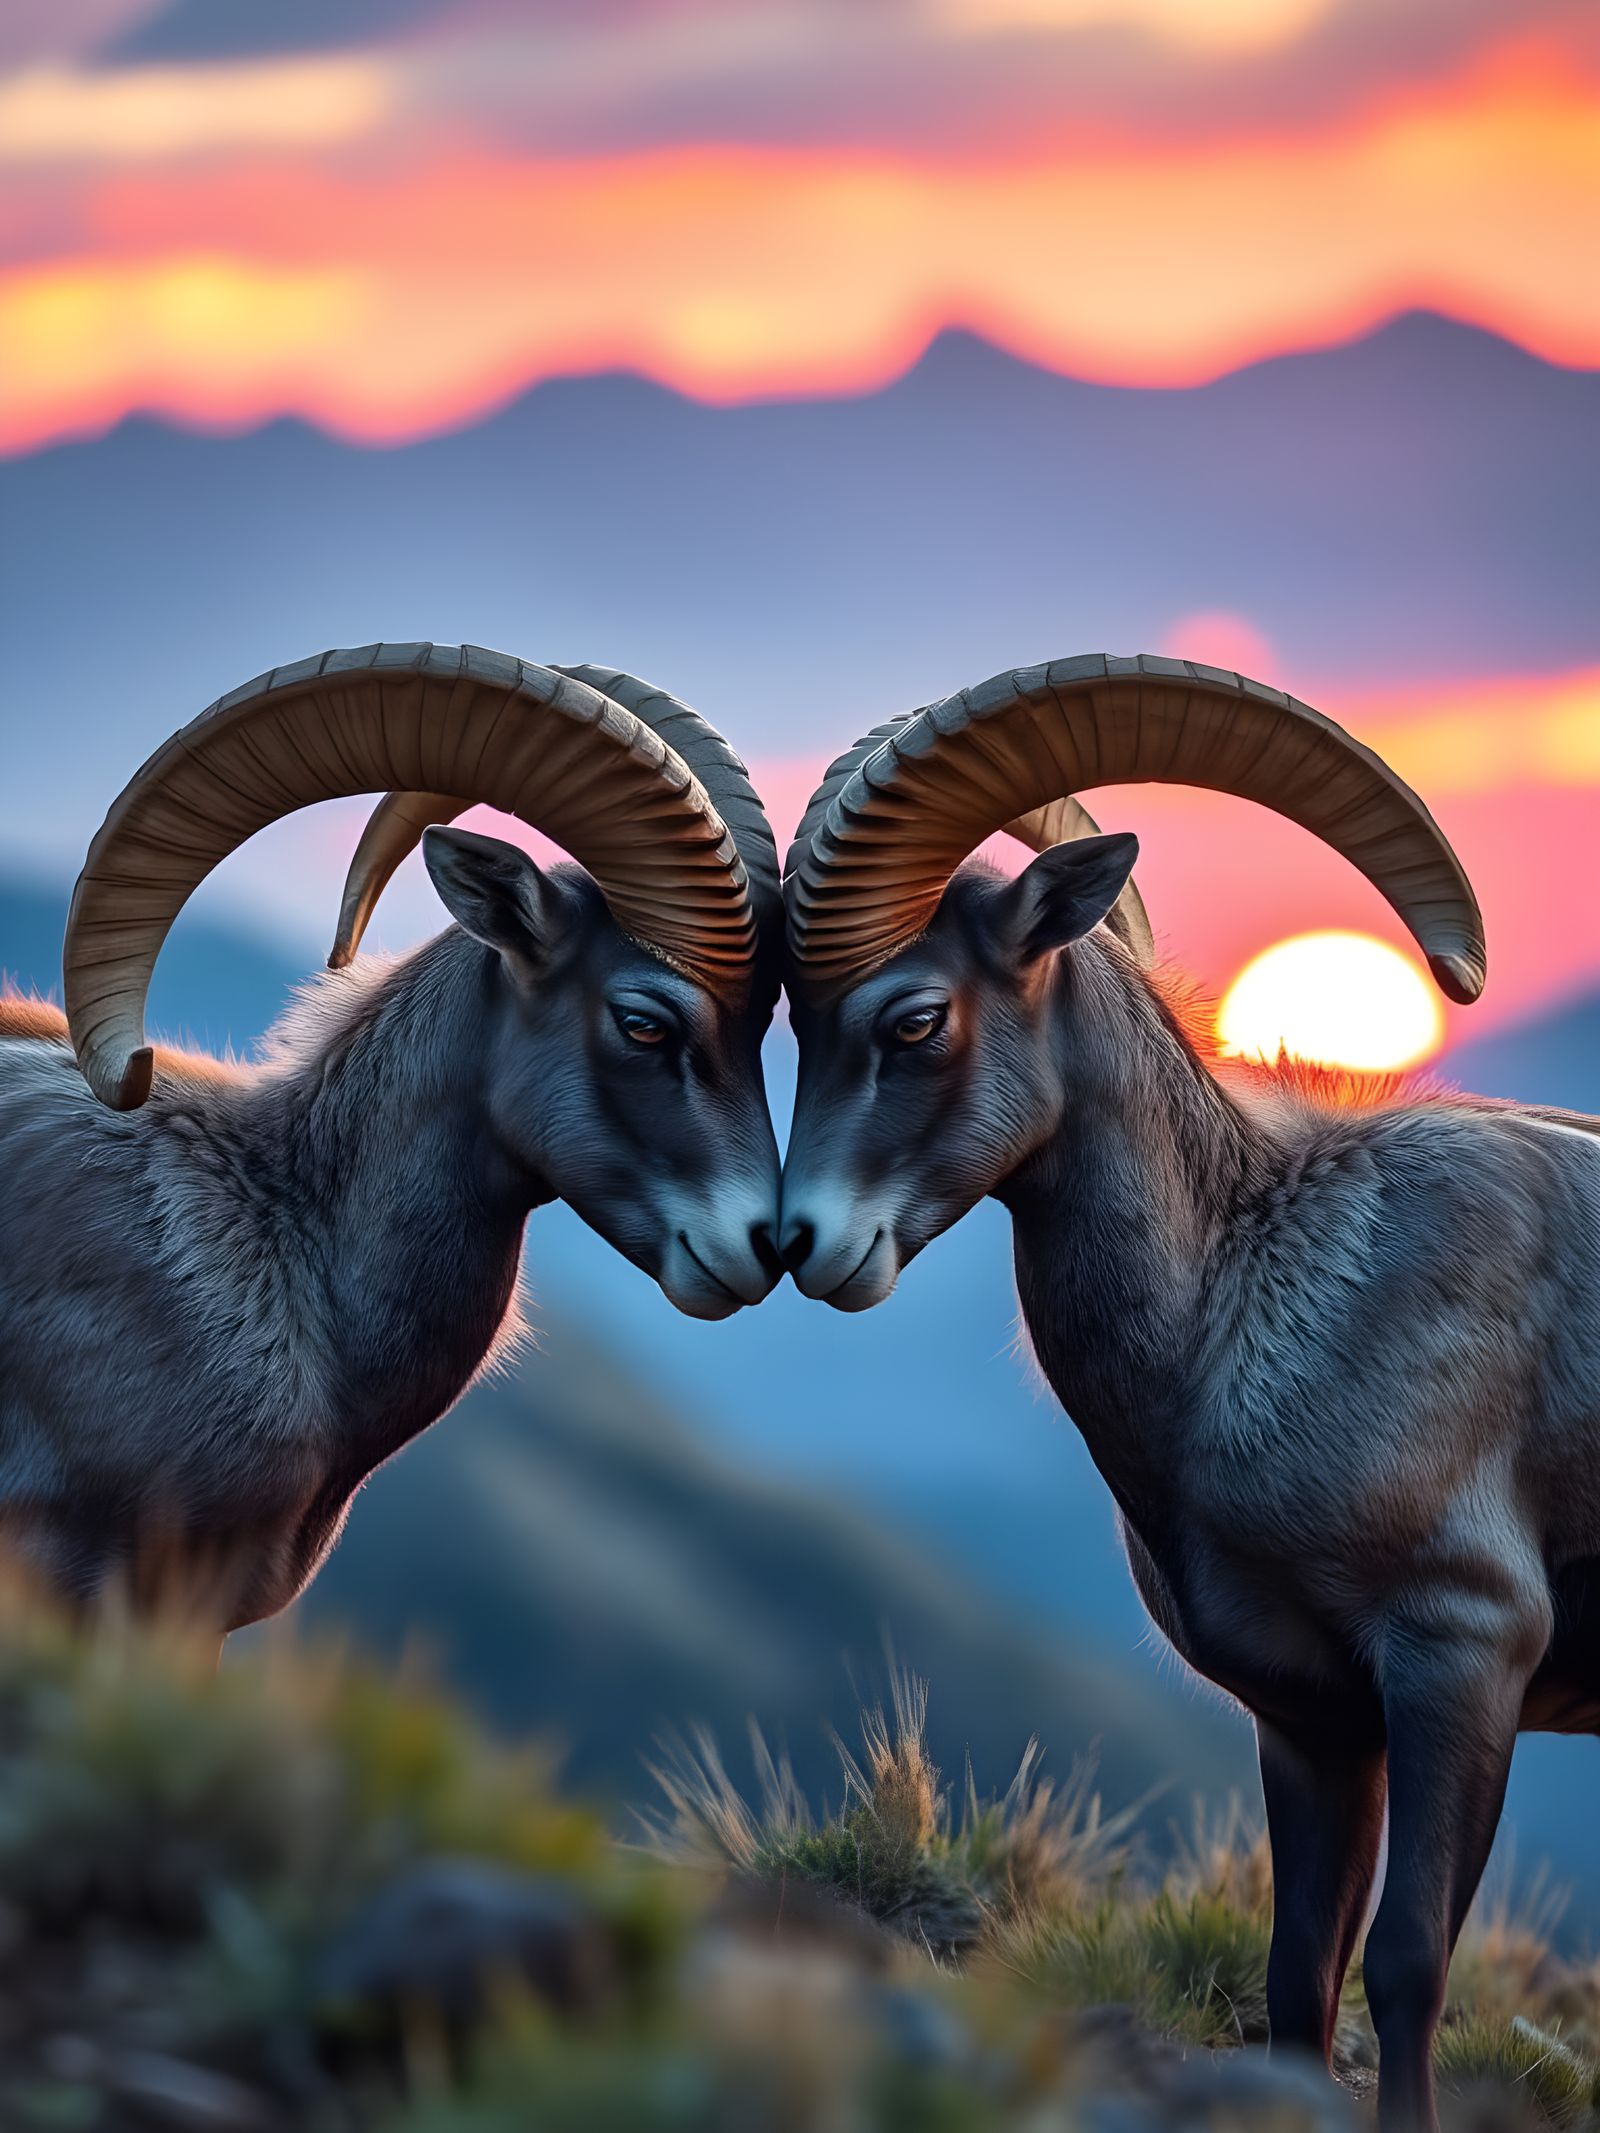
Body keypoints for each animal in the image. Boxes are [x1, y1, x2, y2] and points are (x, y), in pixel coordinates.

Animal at [774, 653, 1591, 2131]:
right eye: (792, 1018)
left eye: (913, 1016)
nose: (802, 1244)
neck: (1246, 1306)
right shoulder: (1315, 1727)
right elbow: (1298, 1979)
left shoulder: (1462, 1659)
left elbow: (1405, 1965)